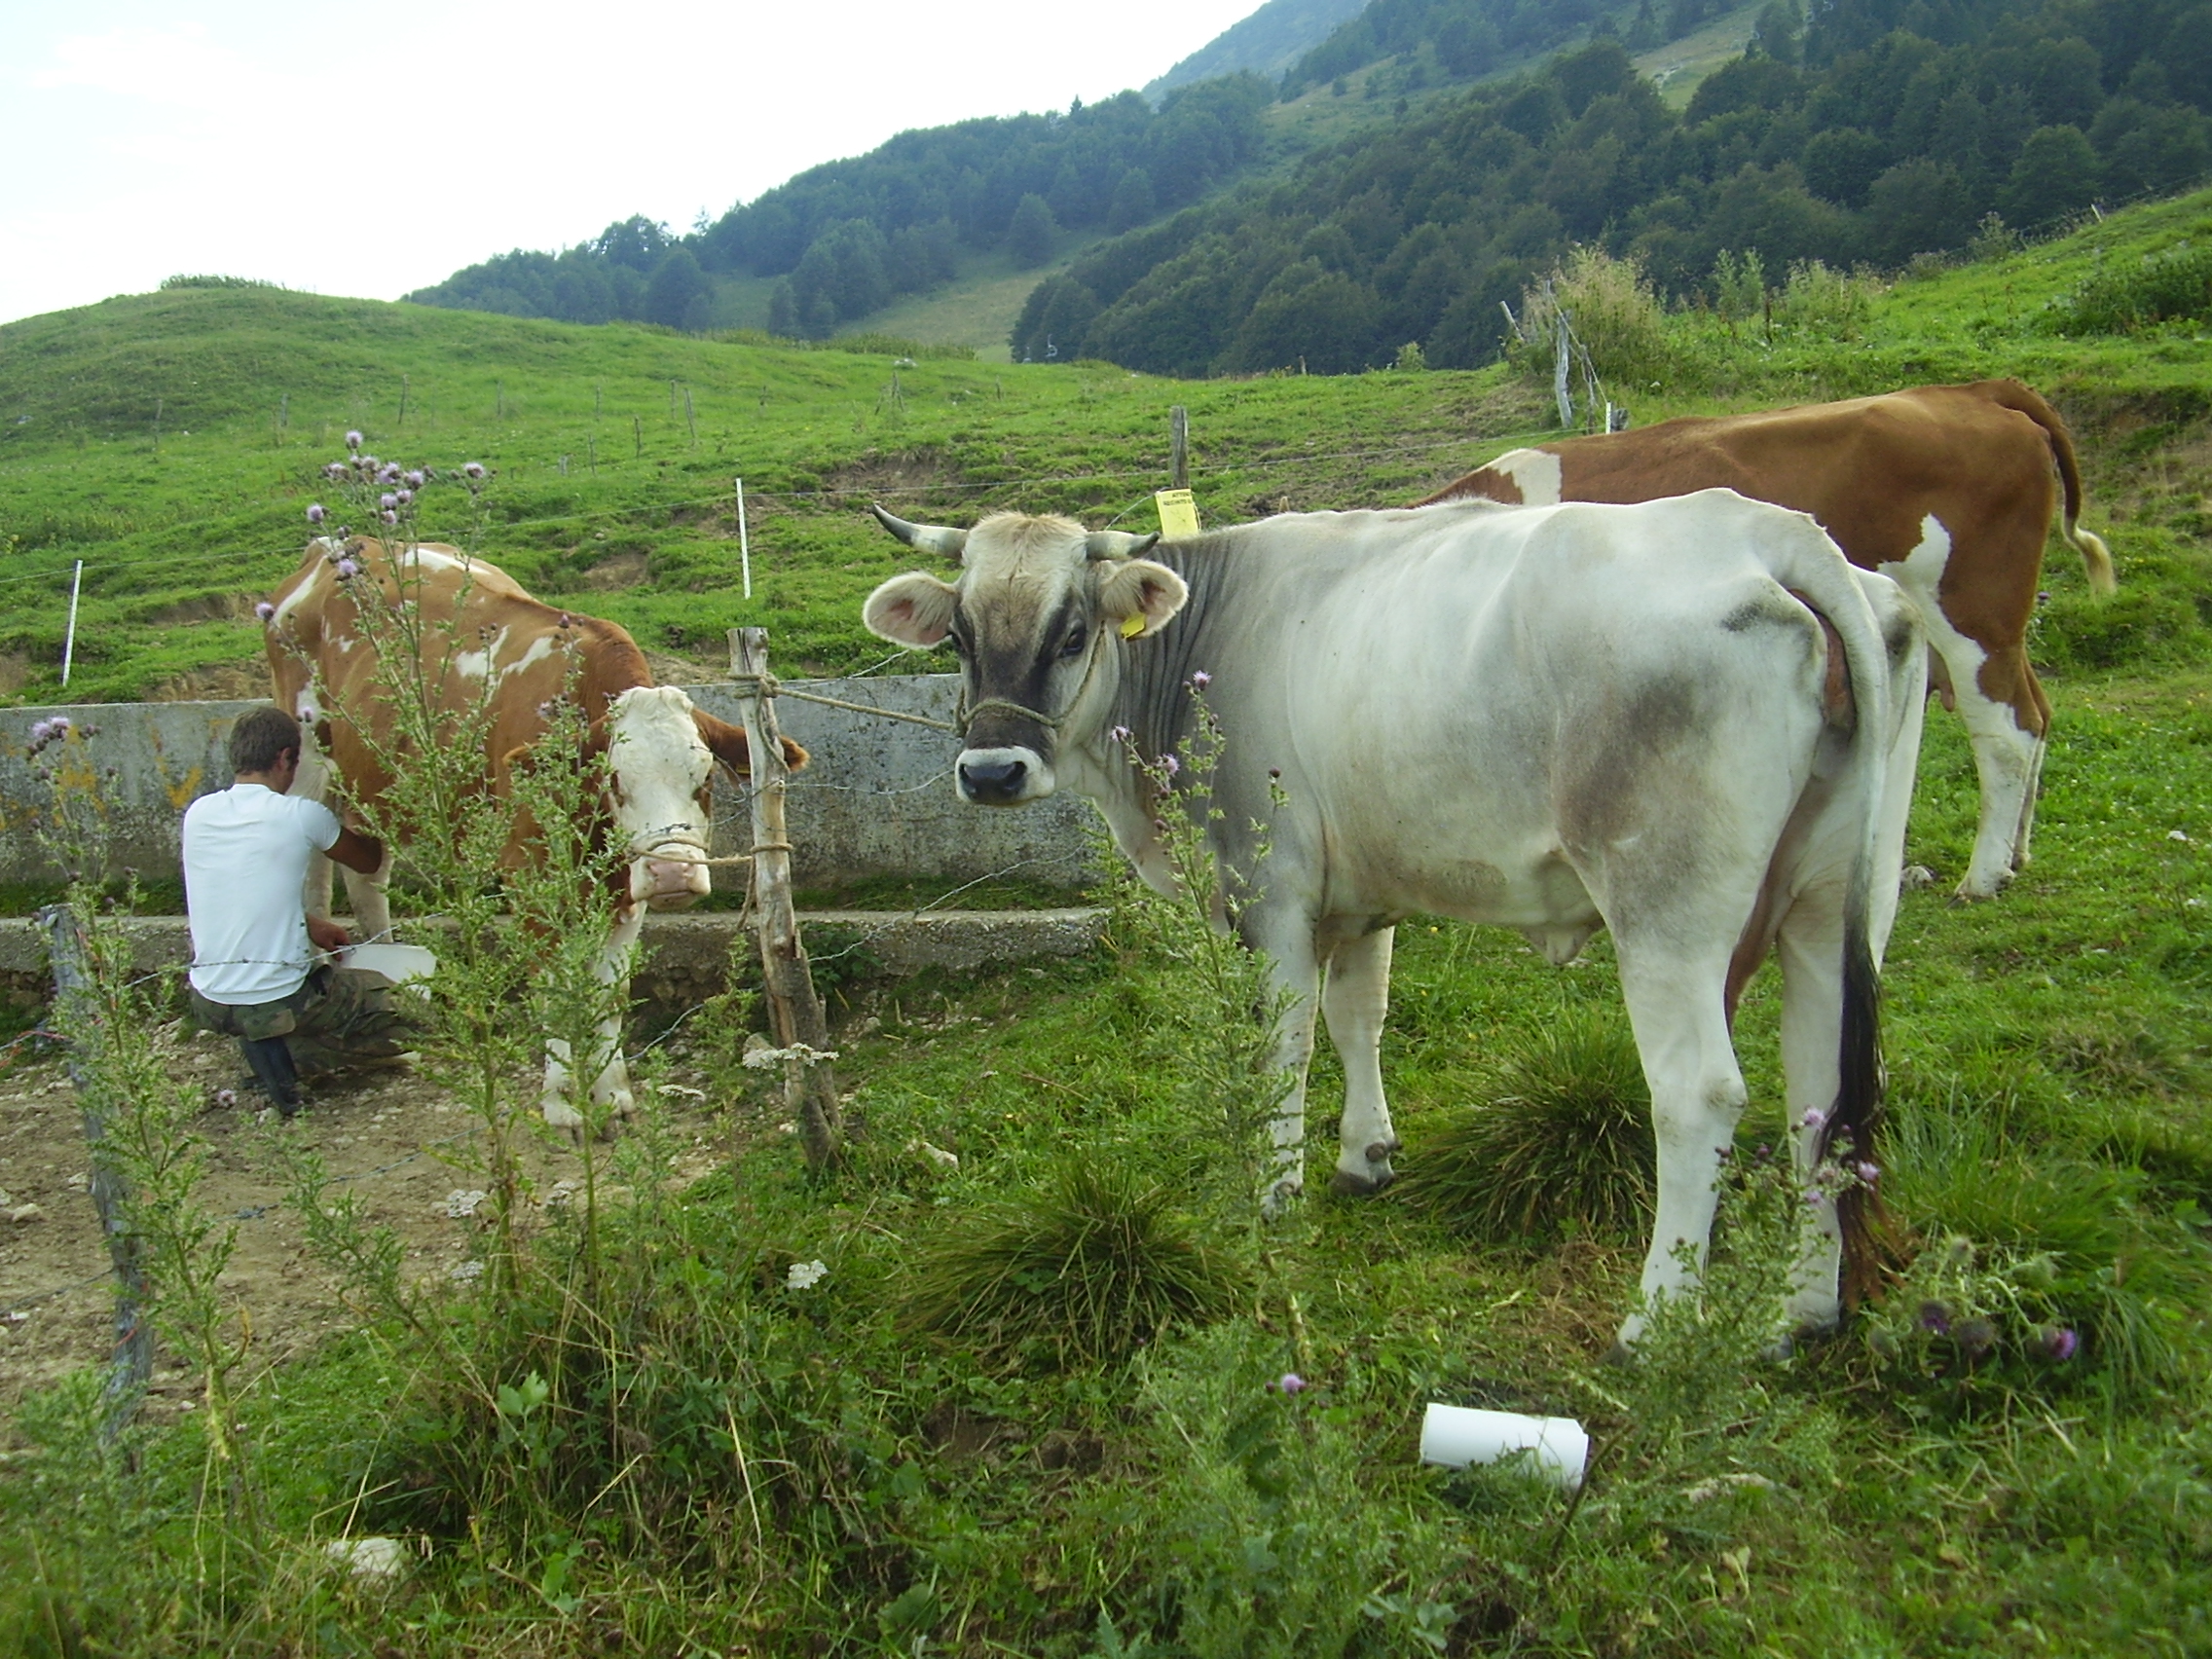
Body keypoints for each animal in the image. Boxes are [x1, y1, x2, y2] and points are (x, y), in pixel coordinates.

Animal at [265, 539, 805, 1141]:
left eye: (705, 778)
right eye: (614, 779)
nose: (672, 874)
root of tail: (329, 549)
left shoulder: (625, 891)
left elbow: (609, 991)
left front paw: (612, 1095)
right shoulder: (529, 879)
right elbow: (550, 988)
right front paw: (562, 1104)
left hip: (376, 788)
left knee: (364, 876)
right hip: (307, 761)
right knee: (310, 878)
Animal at [863, 493, 1920, 1353]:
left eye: (1073, 630)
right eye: (958, 637)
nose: (991, 771)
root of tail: (1758, 526)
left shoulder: (1270, 894)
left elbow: (1282, 1046)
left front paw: (1274, 1193)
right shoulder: (1357, 898)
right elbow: (1357, 1019)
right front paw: (1362, 1155)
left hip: (1666, 911)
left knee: (1698, 1096)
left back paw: (1651, 1325)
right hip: (1834, 903)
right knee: (1821, 1091)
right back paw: (1802, 1313)